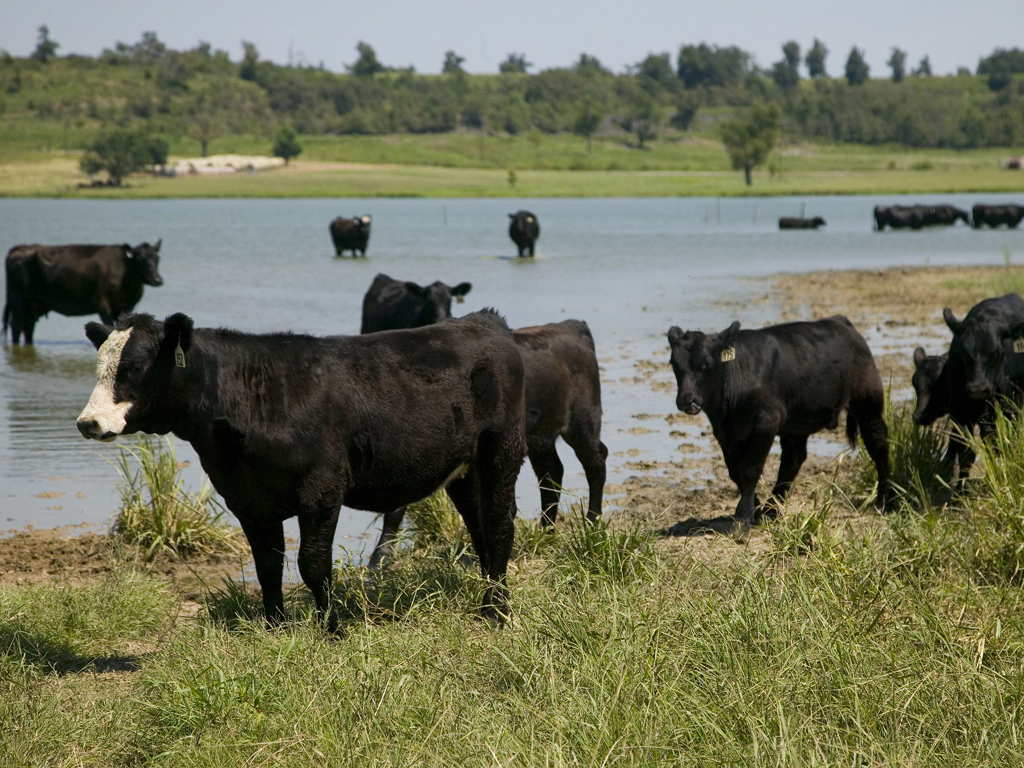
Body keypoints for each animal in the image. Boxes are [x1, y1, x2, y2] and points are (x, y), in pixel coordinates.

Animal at [3, 240, 161, 346]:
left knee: (28, 327)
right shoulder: (103, 304)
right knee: (16, 326)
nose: (157, 279)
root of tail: (18, 249)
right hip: (18, 299)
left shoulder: (123, 307)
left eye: (157, 258)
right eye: (140, 259)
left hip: (33, 305)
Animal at [77, 309, 528, 634]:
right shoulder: (248, 498)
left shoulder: (322, 488)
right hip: (464, 470)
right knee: (479, 526)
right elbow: (267, 565)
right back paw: (488, 600)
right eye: (98, 366)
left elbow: (313, 563)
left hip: (502, 451)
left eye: (135, 366)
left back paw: (497, 614)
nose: (88, 423)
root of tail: (483, 320)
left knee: (500, 525)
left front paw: (333, 631)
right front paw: (275, 628)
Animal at [368, 321, 606, 569]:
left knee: (595, 462)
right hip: (541, 438)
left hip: (582, 422)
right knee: (551, 473)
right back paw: (546, 532)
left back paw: (592, 523)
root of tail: (570, 326)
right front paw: (379, 560)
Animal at [663, 317, 888, 528]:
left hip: (868, 403)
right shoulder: (724, 432)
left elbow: (750, 470)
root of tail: (839, 320)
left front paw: (743, 517)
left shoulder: (766, 422)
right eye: (674, 364)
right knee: (793, 458)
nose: (686, 400)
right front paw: (755, 509)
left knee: (878, 443)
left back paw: (885, 500)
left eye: (706, 363)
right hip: (796, 423)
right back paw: (772, 509)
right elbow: (735, 471)